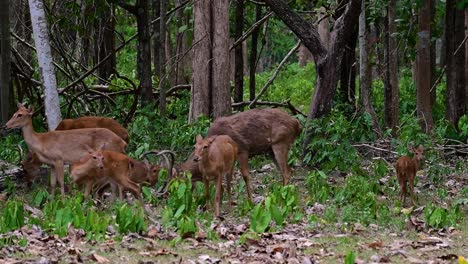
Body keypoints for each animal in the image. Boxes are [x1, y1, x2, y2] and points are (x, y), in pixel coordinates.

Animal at [174, 108, 302, 201]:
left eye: (180, 181)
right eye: (195, 147)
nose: (177, 197)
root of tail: (297, 124)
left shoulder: (243, 150)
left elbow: (245, 175)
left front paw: (250, 200)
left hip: (280, 142)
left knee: (287, 171)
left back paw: (282, 196)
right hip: (270, 150)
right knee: (284, 170)